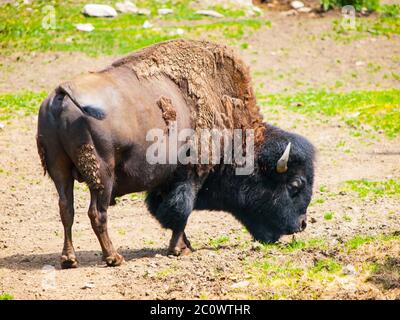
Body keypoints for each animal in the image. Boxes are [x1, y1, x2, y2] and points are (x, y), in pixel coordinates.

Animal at [36, 38, 314, 268]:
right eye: (295, 185)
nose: (301, 225)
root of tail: (61, 93)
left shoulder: (165, 182)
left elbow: (168, 212)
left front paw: (184, 246)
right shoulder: (191, 175)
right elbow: (181, 212)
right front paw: (180, 249)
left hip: (60, 171)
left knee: (66, 209)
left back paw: (69, 259)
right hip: (102, 176)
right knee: (97, 213)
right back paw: (113, 257)